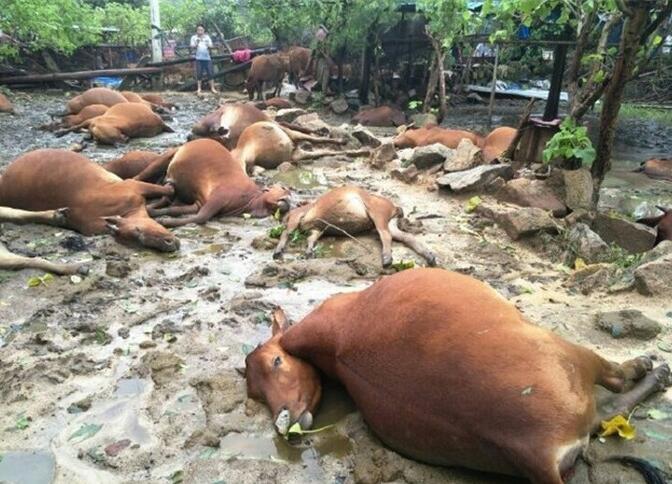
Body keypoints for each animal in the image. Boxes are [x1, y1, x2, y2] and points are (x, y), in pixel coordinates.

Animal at [134, 138, 292, 225]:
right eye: (283, 189)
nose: (289, 195)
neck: (251, 199)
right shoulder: (220, 196)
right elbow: (201, 217)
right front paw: (164, 221)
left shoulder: (200, 202)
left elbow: (179, 210)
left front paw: (155, 212)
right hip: (167, 157)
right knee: (141, 176)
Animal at [247, 268, 672, 484]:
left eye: (276, 364)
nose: (282, 420)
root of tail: (533, 450)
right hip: (566, 353)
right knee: (614, 388)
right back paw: (652, 370)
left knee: (609, 413)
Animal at [272, 186, 436, 268]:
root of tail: (394, 207)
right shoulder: (317, 229)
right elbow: (311, 239)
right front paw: (309, 252)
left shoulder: (296, 218)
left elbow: (286, 233)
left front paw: (278, 251)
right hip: (389, 222)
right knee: (406, 237)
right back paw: (430, 256)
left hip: (378, 215)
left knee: (385, 235)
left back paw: (387, 259)